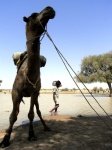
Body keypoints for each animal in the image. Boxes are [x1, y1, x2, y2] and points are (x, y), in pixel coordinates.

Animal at [0, 6, 55, 148]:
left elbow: (31, 114)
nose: (49, 9)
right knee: (17, 112)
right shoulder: (15, 92)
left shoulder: (35, 91)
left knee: (38, 110)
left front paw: (31, 135)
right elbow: (13, 116)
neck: (28, 74)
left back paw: (46, 127)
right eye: (33, 15)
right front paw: (5, 140)